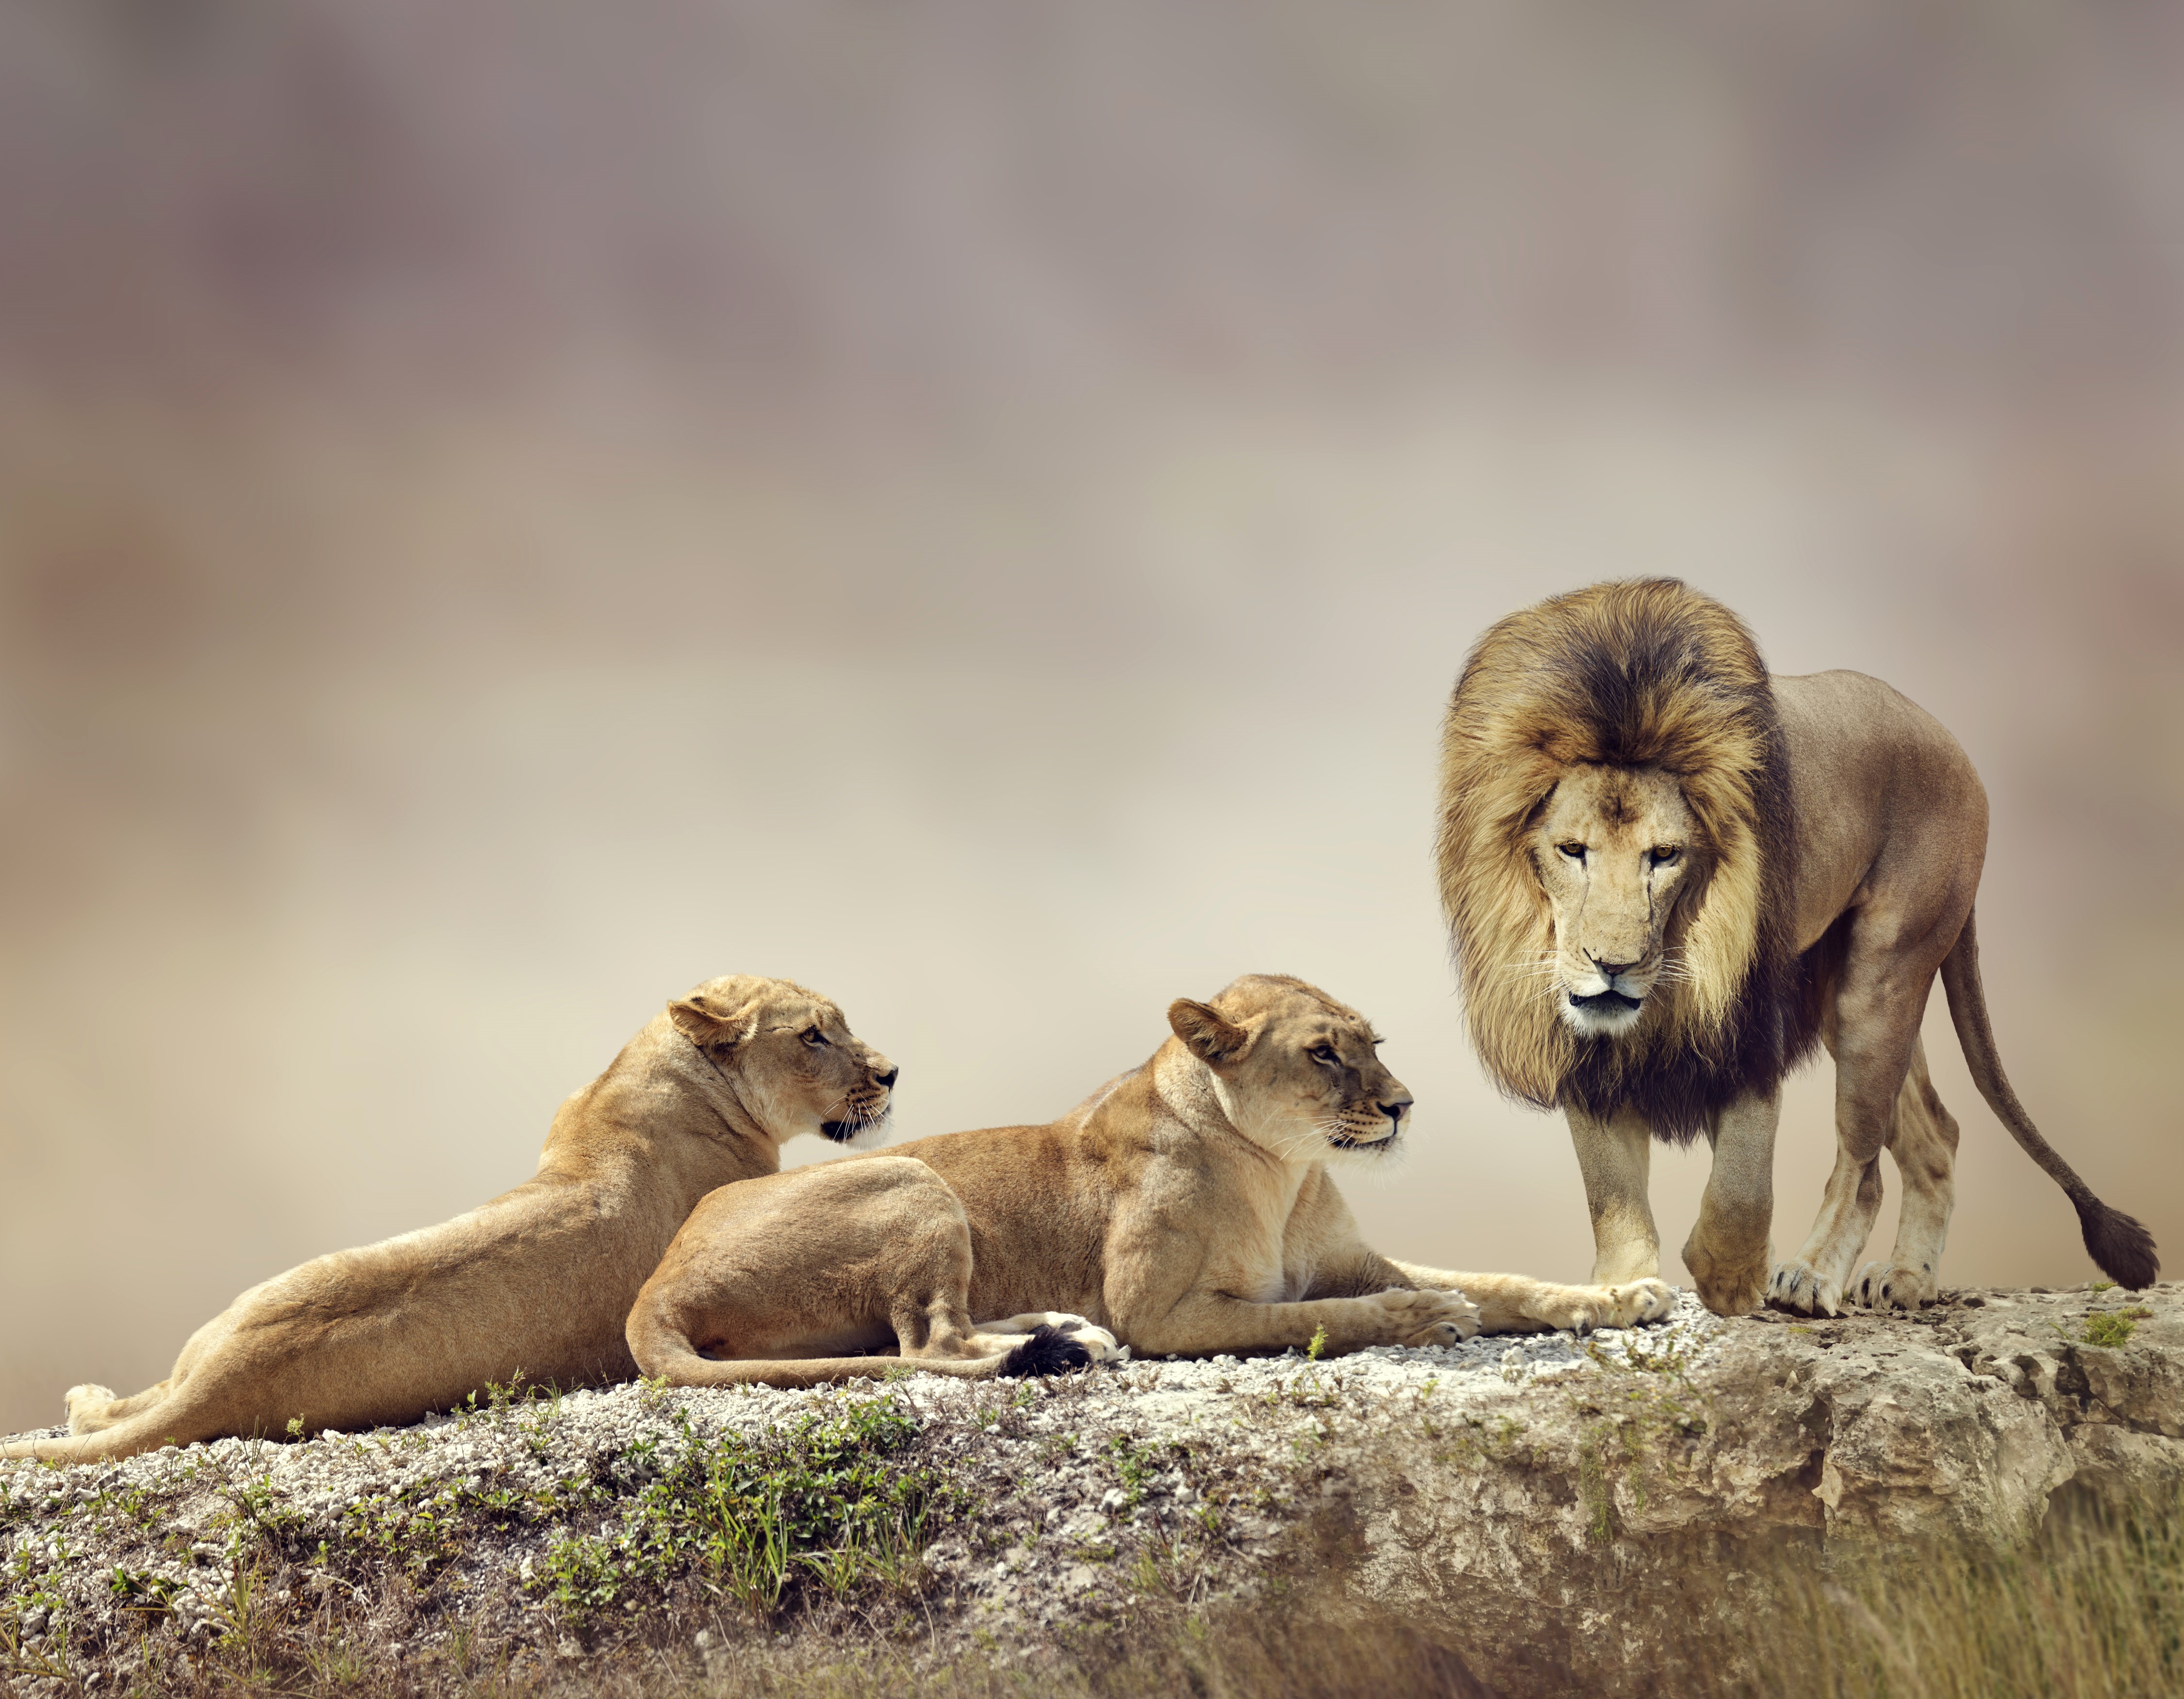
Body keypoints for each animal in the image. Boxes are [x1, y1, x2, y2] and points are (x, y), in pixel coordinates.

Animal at [0, 976, 897, 1463]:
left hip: (205, 1341)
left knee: (114, 1409)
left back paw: (92, 1395)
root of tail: (225, 1376)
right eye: (814, 1036)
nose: (892, 1072)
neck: (647, 1073)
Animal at [624, 974, 1672, 1390]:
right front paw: (1423, 1319)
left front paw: (1624, 1297)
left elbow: (1505, 1283)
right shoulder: (1165, 1313)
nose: (1404, 1105)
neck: (1284, 1172)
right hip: (909, 1178)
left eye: (1373, 1043)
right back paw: (1062, 1349)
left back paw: (1059, 1329)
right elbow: (1323, 1315)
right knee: (928, 1343)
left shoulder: (1352, 1255)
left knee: (928, 1332)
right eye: (1324, 1053)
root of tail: (655, 1280)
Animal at [1436, 578, 2158, 1318]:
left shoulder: (1750, 1024)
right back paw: (1909, 1278)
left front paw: (1730, 1276)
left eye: (1664, 855)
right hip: (1844, 998)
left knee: (1863, 1167)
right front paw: (1620, 1289)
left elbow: (1744, 1178)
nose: (1614, 966)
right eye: (1571, 850)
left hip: (1882, 979)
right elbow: (1613, 1198)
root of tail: (1949, 741)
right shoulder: (1585, 1056)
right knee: (1937, 1133)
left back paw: (1812, 1277)